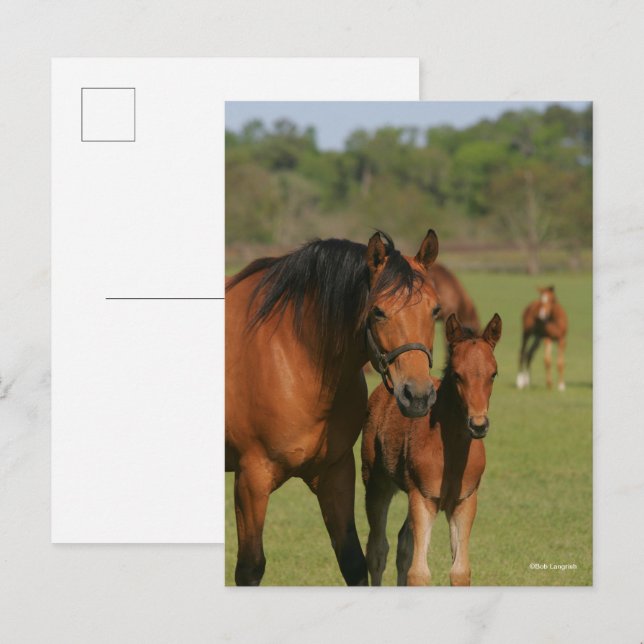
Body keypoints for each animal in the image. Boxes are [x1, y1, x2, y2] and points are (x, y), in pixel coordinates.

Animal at [225, 229, 442, 585]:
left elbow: (353, 561)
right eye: (378, 311)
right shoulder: (251, 479)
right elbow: (250, 568)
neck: (296, 354)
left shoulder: (335, 471)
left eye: (435, 310)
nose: (418, 395)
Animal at [361, 313, 502, 586]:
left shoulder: (464, 501)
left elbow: (460, 571)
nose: (478, 425)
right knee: (377, 549)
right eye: (457, 375)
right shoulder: (422, 497)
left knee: (403, 545)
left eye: (494, 374)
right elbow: (419, 573)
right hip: (376, 484)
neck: (451, 454)